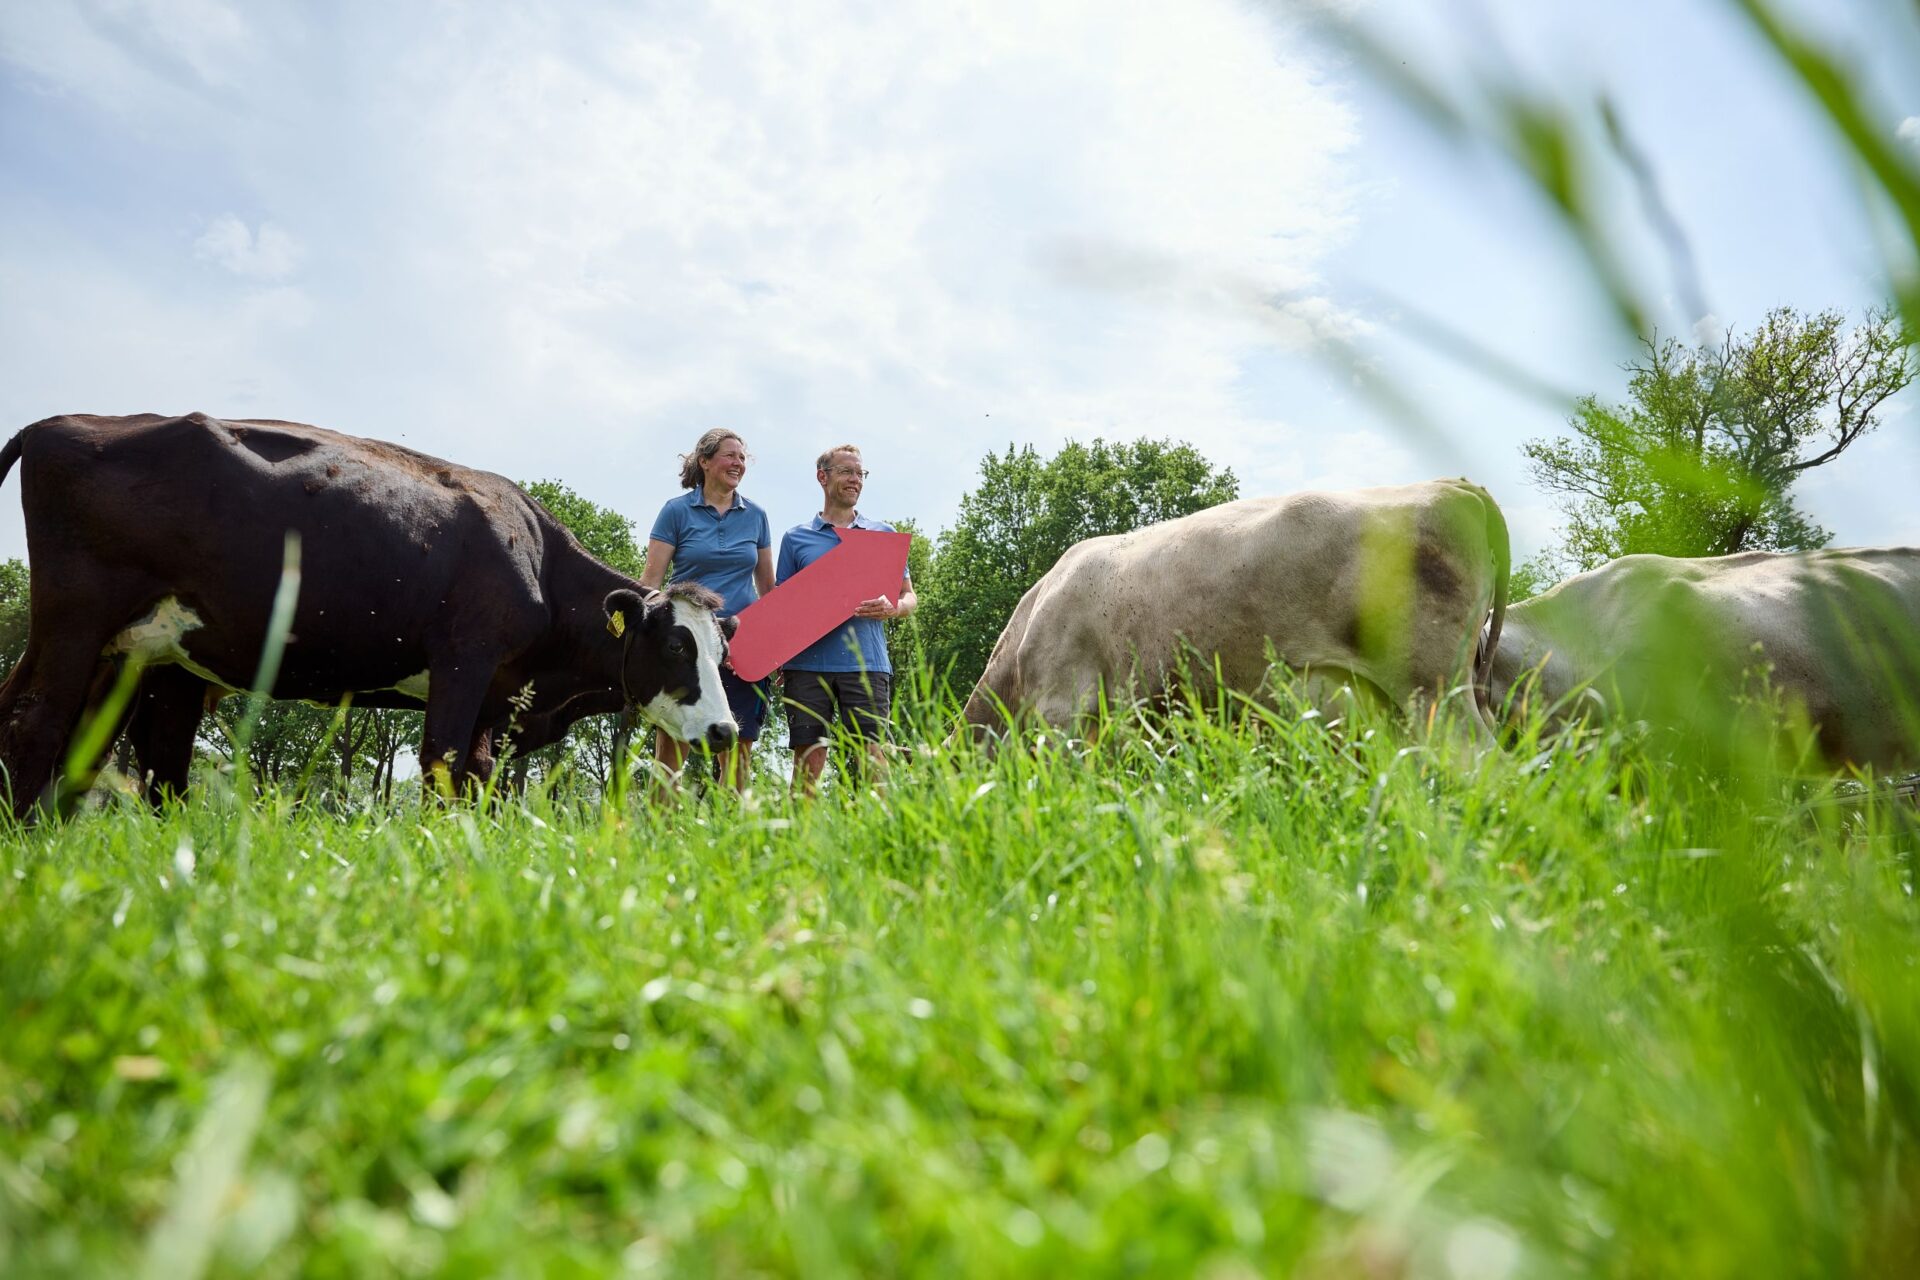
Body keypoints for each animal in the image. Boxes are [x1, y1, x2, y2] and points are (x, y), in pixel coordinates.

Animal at [0, 412, 738, 817]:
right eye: (677, 647)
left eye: (721, 652)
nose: (727, 730)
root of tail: (57, 425)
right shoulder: (464, 658)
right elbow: (443, 763)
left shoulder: (498, 699)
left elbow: (480, 780)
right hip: (77, 619)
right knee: (36, 721)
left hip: (141, 652)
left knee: (114, 752)